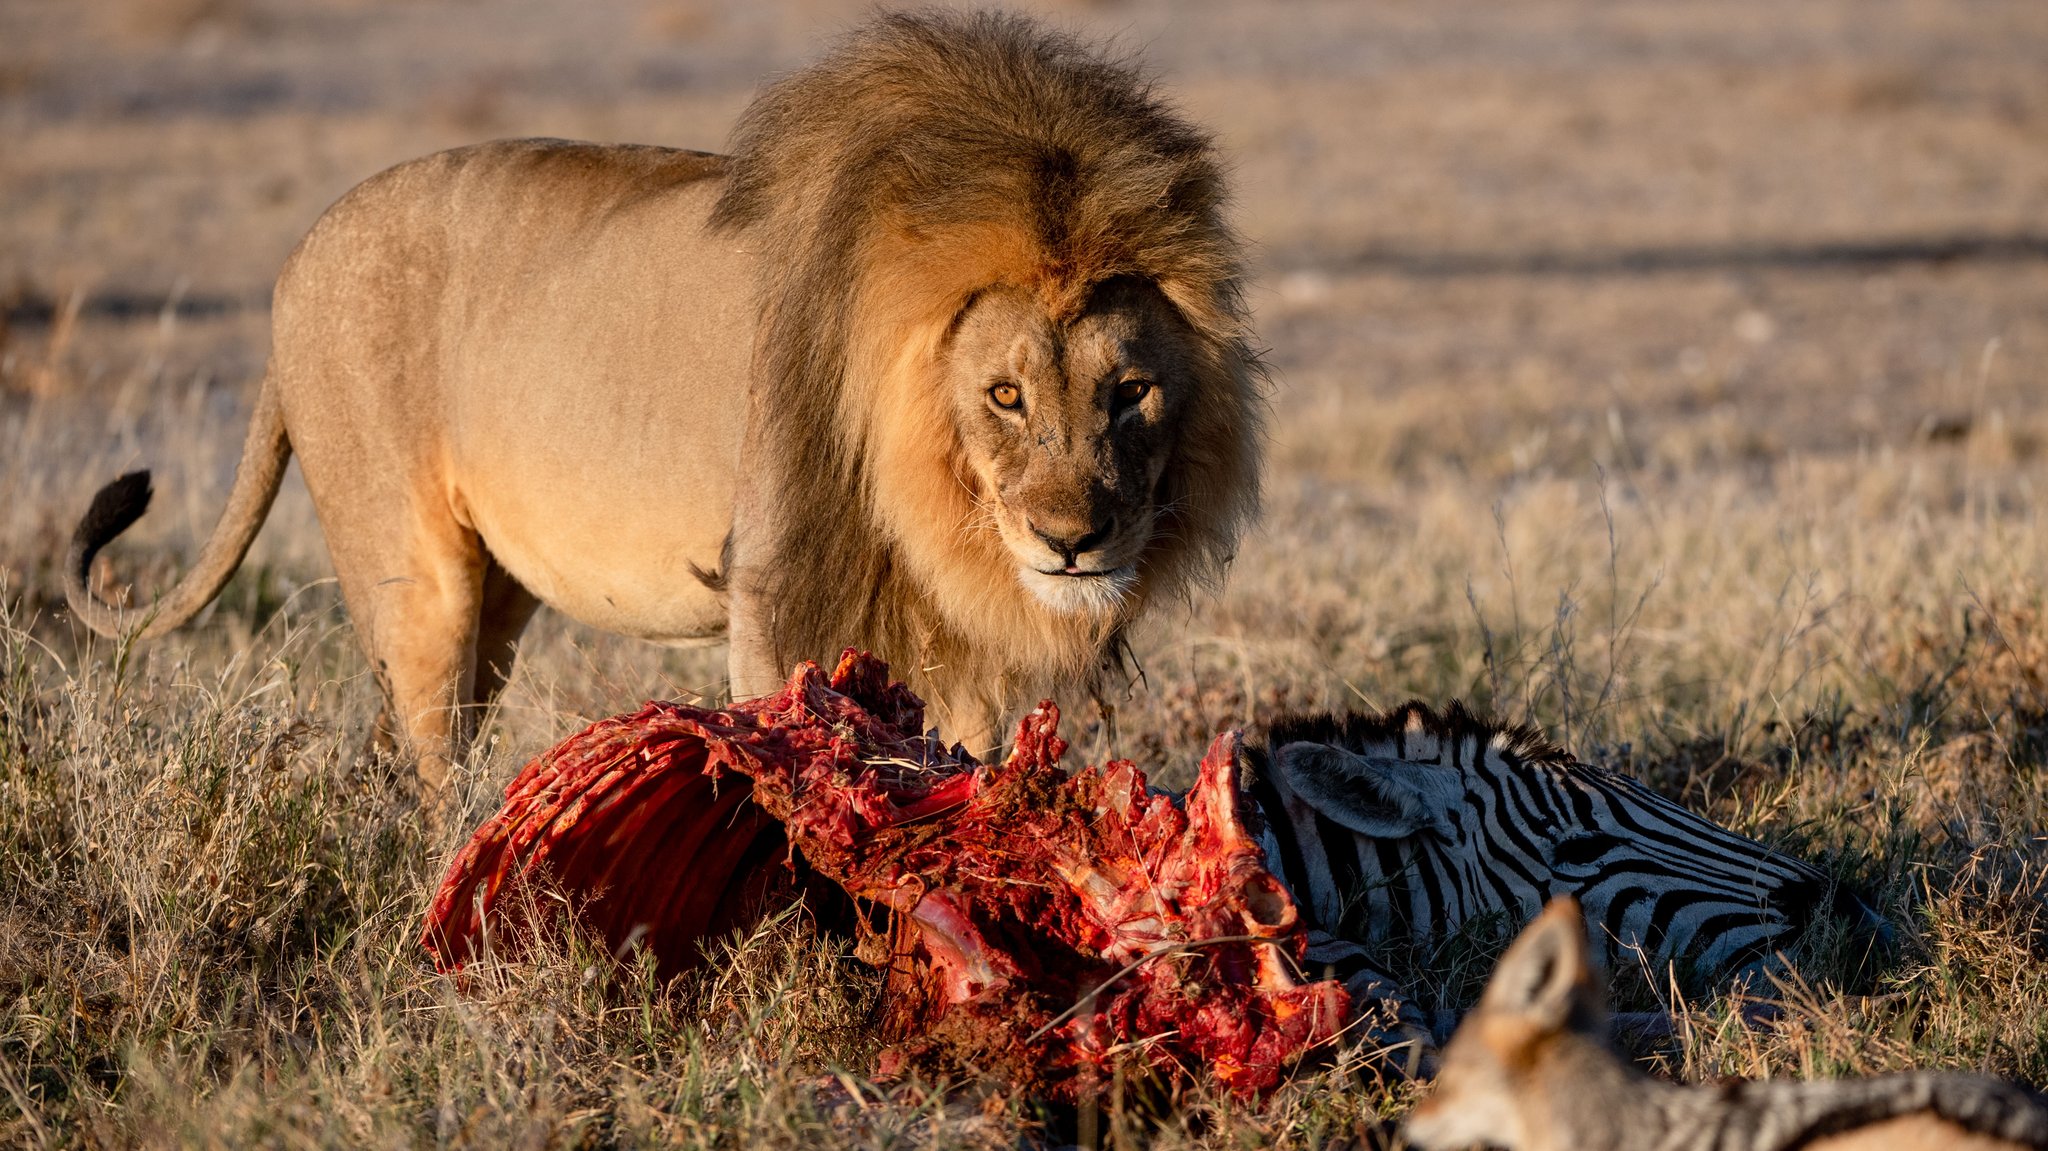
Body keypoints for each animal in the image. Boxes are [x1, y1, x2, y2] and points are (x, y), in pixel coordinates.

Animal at [64, 11, 1261, 786]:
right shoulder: (773, 591)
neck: (933, 502)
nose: (1073, 540)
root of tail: (295, 259)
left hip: (496, 592)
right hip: (412, 576)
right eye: (1005, 394)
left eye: (1131, 392)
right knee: (426, 756)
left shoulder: (953, 633)